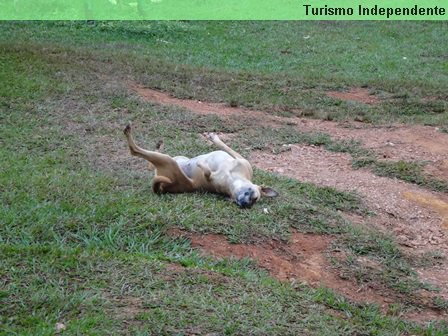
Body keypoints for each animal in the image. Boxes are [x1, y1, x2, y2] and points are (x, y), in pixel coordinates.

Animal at [122, 123, 276, 207]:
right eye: (254, 198)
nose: (244, 205)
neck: (234, 178)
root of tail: (164, 188)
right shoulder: (241, 159)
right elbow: (225, 146)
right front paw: (214, 138)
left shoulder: (210, 179)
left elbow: (207, 172)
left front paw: (202, 164)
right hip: (176, 158)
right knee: (149, 164)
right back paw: (158, 145)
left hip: (167, 160)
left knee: (135, 151)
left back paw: (129, 132)